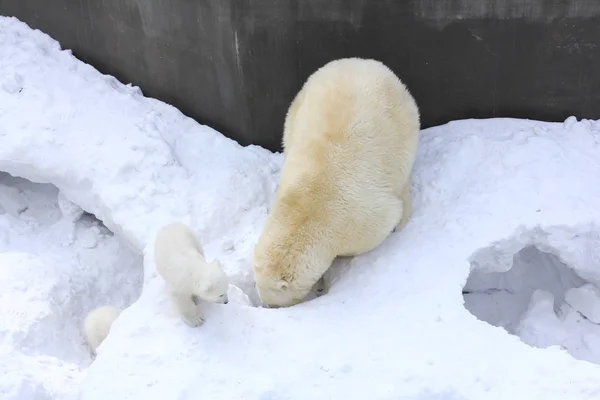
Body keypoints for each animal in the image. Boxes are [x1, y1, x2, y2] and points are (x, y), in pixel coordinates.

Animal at [251, 56, 420, 308]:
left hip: (402, 120)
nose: (268, 307)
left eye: (276, 301)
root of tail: (363, 61)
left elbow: (385, 220)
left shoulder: (363, 220)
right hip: (300, 104)